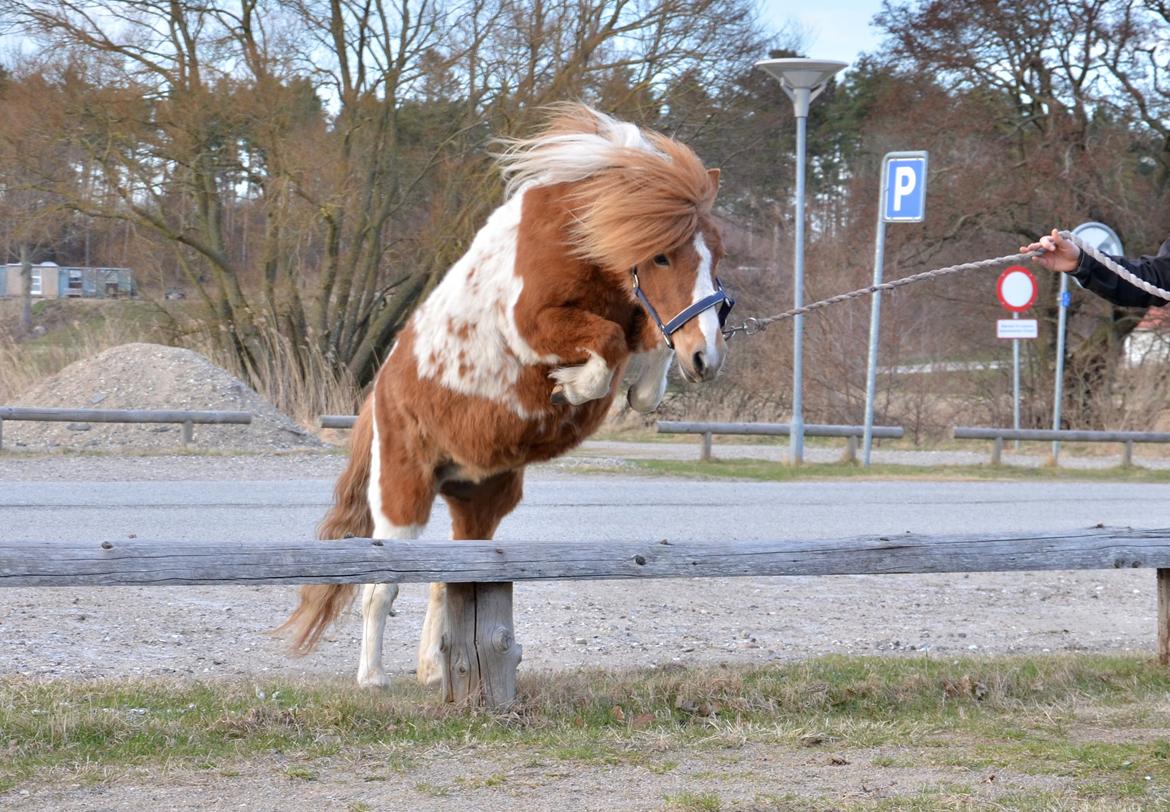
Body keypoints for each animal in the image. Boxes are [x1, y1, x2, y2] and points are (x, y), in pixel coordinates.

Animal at [277, 104, 725, 687]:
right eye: (663, 258)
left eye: (715, 256)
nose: (707, 359)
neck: (573, 243)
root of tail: (380, 395)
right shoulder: (531, 325)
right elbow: (607, 344)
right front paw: (571, 387)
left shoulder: (637, 323)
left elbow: (644, 365)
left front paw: (628, 384)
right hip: (402, 494)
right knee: (382, 585)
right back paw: (373, 677)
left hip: (482, 502)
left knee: (449, 576)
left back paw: (434, 670)